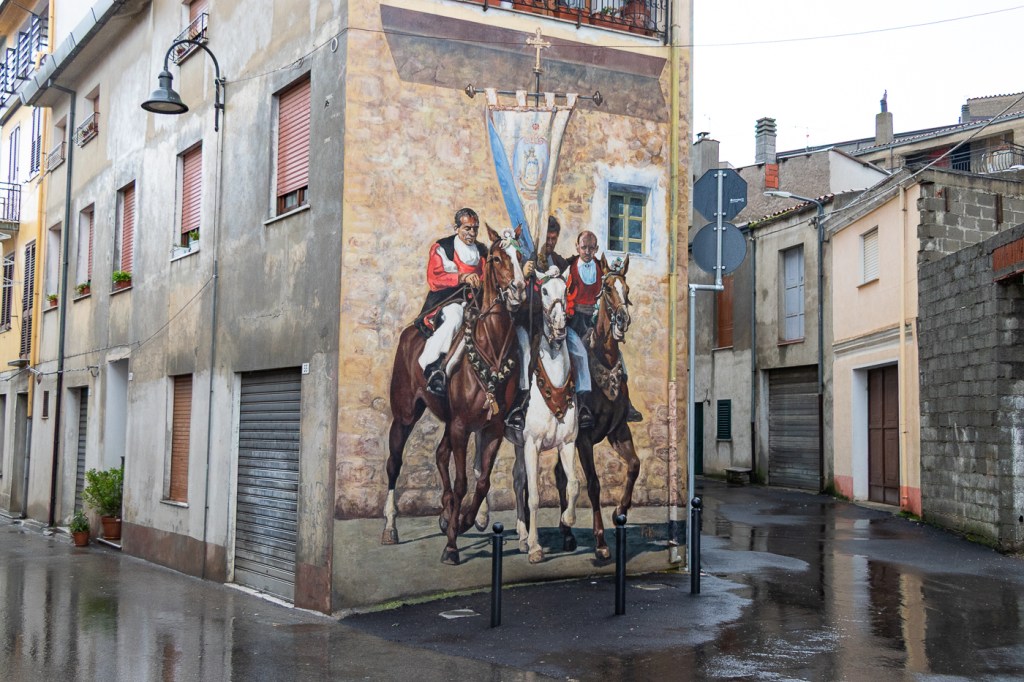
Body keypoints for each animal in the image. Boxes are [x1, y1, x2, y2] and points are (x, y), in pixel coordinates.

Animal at [382, 225, 526, 565]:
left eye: (522, 257)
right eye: (497, 258)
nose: (518, 290)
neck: (491, 351)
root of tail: (410, 332)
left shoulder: (492, 428)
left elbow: (483, 481)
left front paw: (463, 520)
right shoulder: (461, 426)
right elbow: (462, 483)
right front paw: (451, 546)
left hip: (449, 422)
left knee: (439, 454)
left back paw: (448, 513)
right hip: (405, 415)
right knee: (394, 463)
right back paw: (391, 527)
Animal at [556, 254, 641, 560]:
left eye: (626, 288)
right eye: (607, 290)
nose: (623, 320)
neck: (604, 358)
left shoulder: (619, 431)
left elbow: (635, 465)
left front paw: (619, 511)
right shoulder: (583, 438)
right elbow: (593, 484)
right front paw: (601, 541)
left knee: (559, 476)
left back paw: (566, 532)